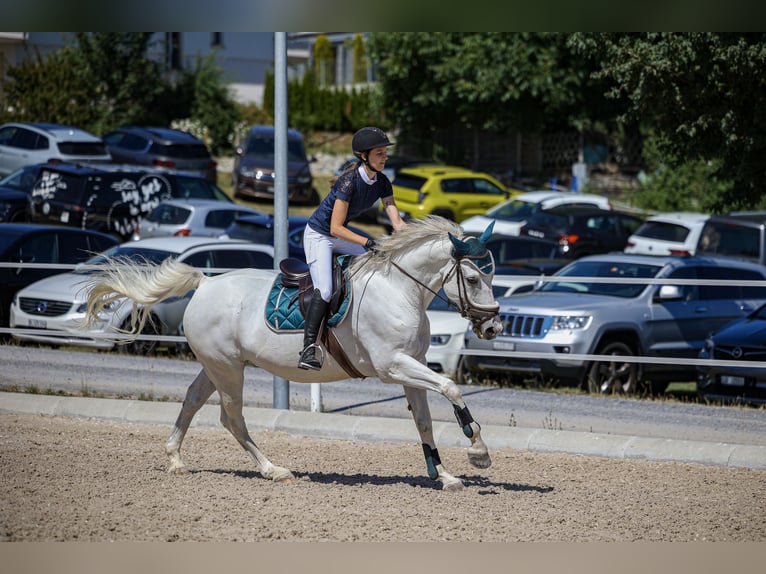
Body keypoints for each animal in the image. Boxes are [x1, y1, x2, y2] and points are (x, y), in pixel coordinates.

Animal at [81, 216, 502, 491]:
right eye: (472, 278)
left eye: (492, 276)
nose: (493, 328)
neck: (400, 290)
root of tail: (204, 284)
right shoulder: (393, 366)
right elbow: (450, 387)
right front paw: (478, 450)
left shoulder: (409, 367)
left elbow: (425, 422)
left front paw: (444, 475)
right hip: (228, 369)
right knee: (231, 417)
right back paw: (273, 469)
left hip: (218, 365)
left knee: (192, 400)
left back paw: (175, 460)